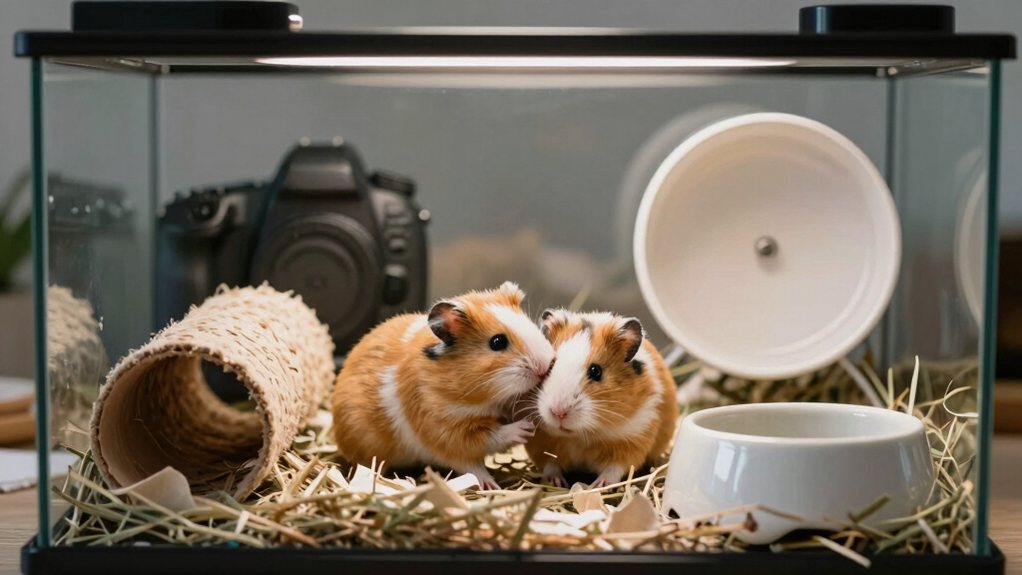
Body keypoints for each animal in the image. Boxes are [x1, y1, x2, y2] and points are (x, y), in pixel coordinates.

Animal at [525, 309, 677, 487]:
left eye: (596, 371)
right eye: (550, 365)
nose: (559, 412)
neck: (580, 435)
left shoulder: (635, 435)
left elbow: (615, 468)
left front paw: (599, 485)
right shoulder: (540, 440)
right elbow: (550, 464)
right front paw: (556, 483)